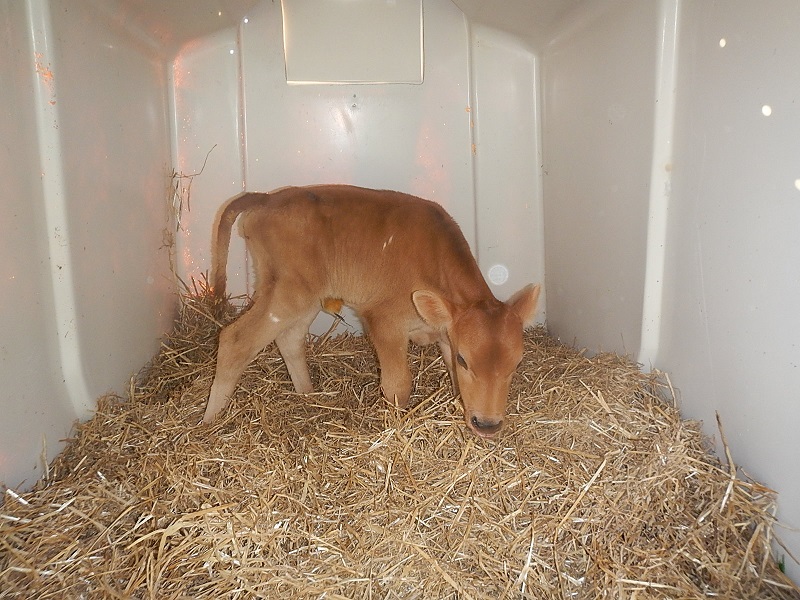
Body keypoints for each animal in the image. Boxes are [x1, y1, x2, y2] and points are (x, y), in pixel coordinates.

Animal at [202, 185, 540, 438]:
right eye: (465, 360)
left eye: (517, 363)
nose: (488, 424)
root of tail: (268, 197)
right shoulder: (385, 320)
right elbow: (398, 386)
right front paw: (396, 427)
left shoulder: (447, 332)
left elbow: (456, 384)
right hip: (289, 292)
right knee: (235, 340)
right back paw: (209, 421)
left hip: (304, 295)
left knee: (289, 339)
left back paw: (309, 396)